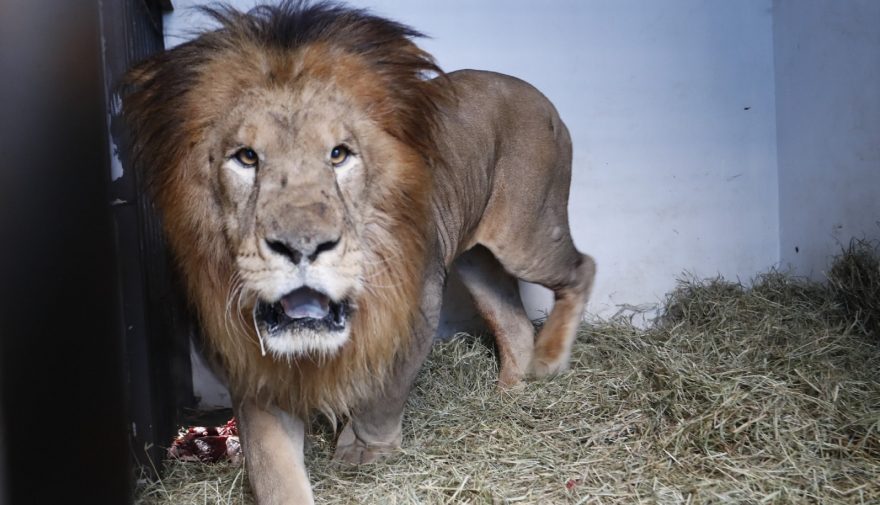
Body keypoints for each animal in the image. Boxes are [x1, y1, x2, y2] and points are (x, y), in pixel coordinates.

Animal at [123, 2, 595, 503]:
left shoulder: (415, 312)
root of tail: (536, 93)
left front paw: (363, 451)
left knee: (581, 268)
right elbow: (273, 468)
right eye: (247, 157)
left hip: (526, 236)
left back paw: (550, 360)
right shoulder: (255, 363)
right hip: (476, 259)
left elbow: (382, 396)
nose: (302, 246)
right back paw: (508, 396)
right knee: (514, 323)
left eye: (339, 154)